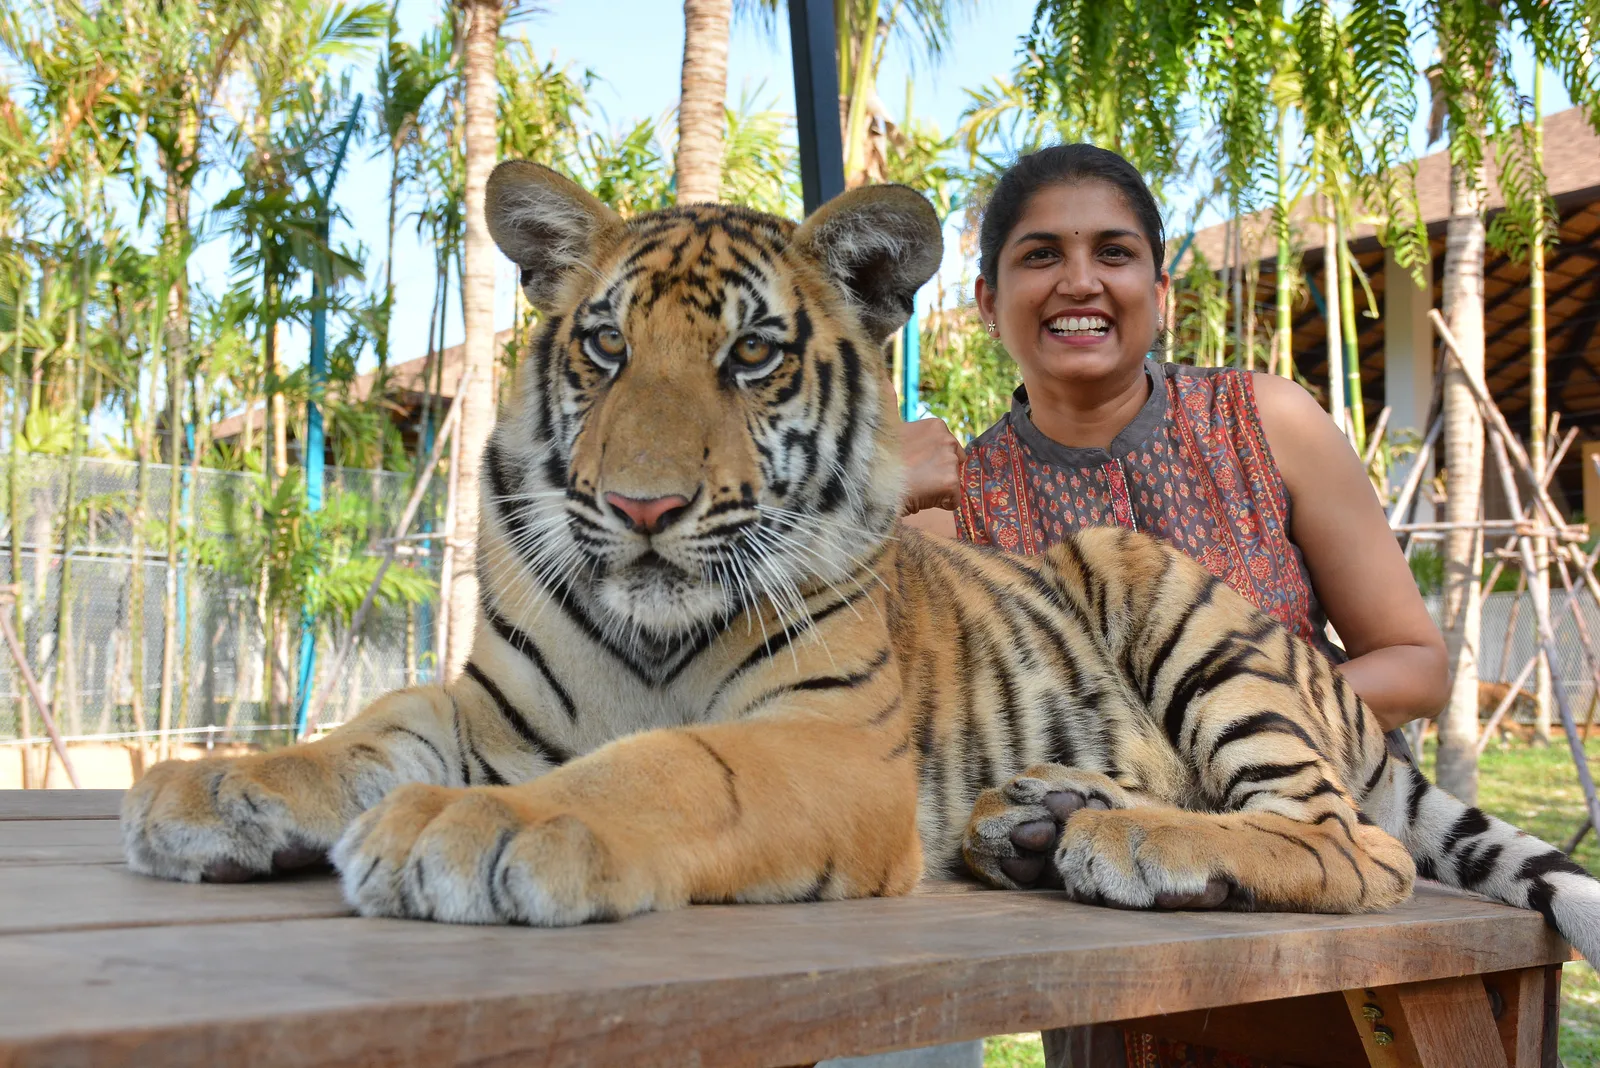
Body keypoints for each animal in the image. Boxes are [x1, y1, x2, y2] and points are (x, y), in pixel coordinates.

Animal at [121, 161, 1600, 964]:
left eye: (750, 355)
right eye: (602, 345)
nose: (642, 506)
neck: (647, 624)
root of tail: (1336, 693)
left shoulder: (827, 746)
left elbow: (669, 763)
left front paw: (481, 831)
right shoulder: (494, 707)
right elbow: (374, 727)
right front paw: (221, 788)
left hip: (1161, 589)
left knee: (1349, 845)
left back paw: (1126, 839)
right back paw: (1035, 822)